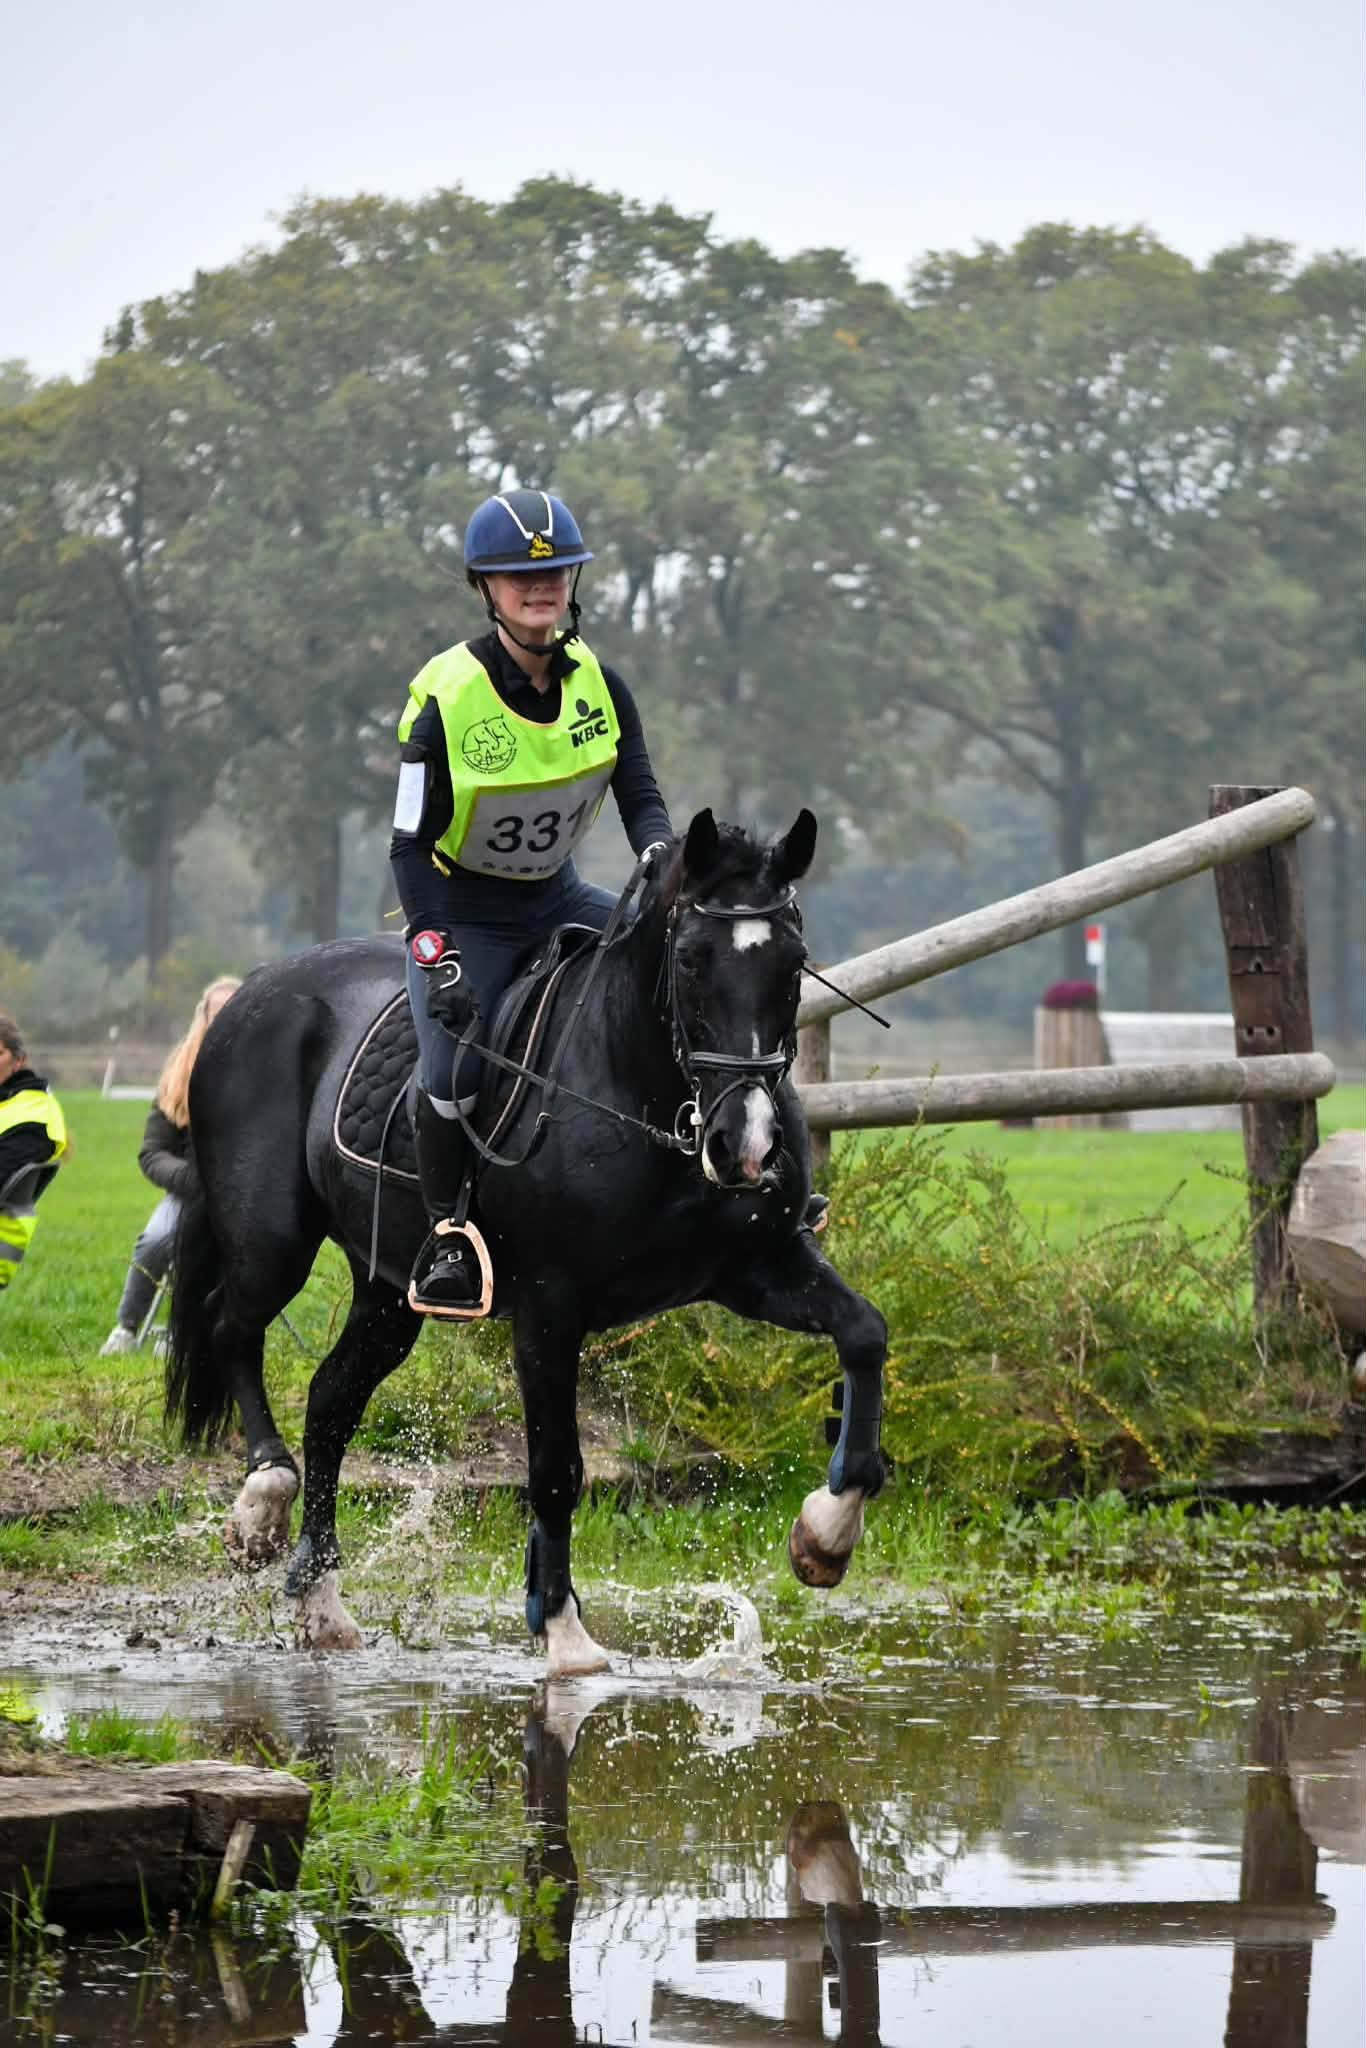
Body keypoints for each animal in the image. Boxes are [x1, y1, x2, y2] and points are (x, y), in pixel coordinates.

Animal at [165, 807, 888, 1678]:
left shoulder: (758, 1270)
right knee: (232, 1326)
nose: (744, 1145)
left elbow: (865, 1334)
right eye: (690, 959)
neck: (653, 1098)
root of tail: (251, 990)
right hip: (273, 1238)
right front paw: (566, 1633)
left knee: (331, 1397)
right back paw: (262, 1505)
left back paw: (320, 1601)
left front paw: (827, 1534)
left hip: (389, 1290)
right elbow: (554, 1471)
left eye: (793, 961)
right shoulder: (550, 1309)